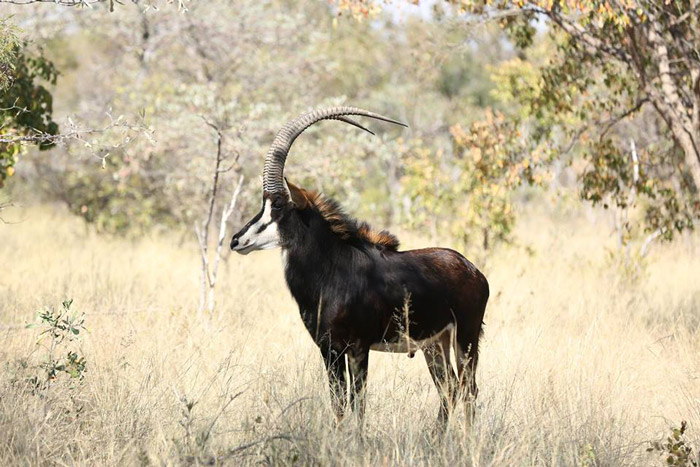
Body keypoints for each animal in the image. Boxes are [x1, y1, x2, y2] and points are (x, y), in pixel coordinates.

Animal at [232, 107, 490, 424]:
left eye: (278, 206)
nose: (236, 240)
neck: (331, 271)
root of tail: (474, 271)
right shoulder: (328, 350)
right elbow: (339, 403)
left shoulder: (358, 347)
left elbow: (357, 403)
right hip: (435, 344)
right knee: (450, 388)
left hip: (465, 338)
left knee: (468, 389)